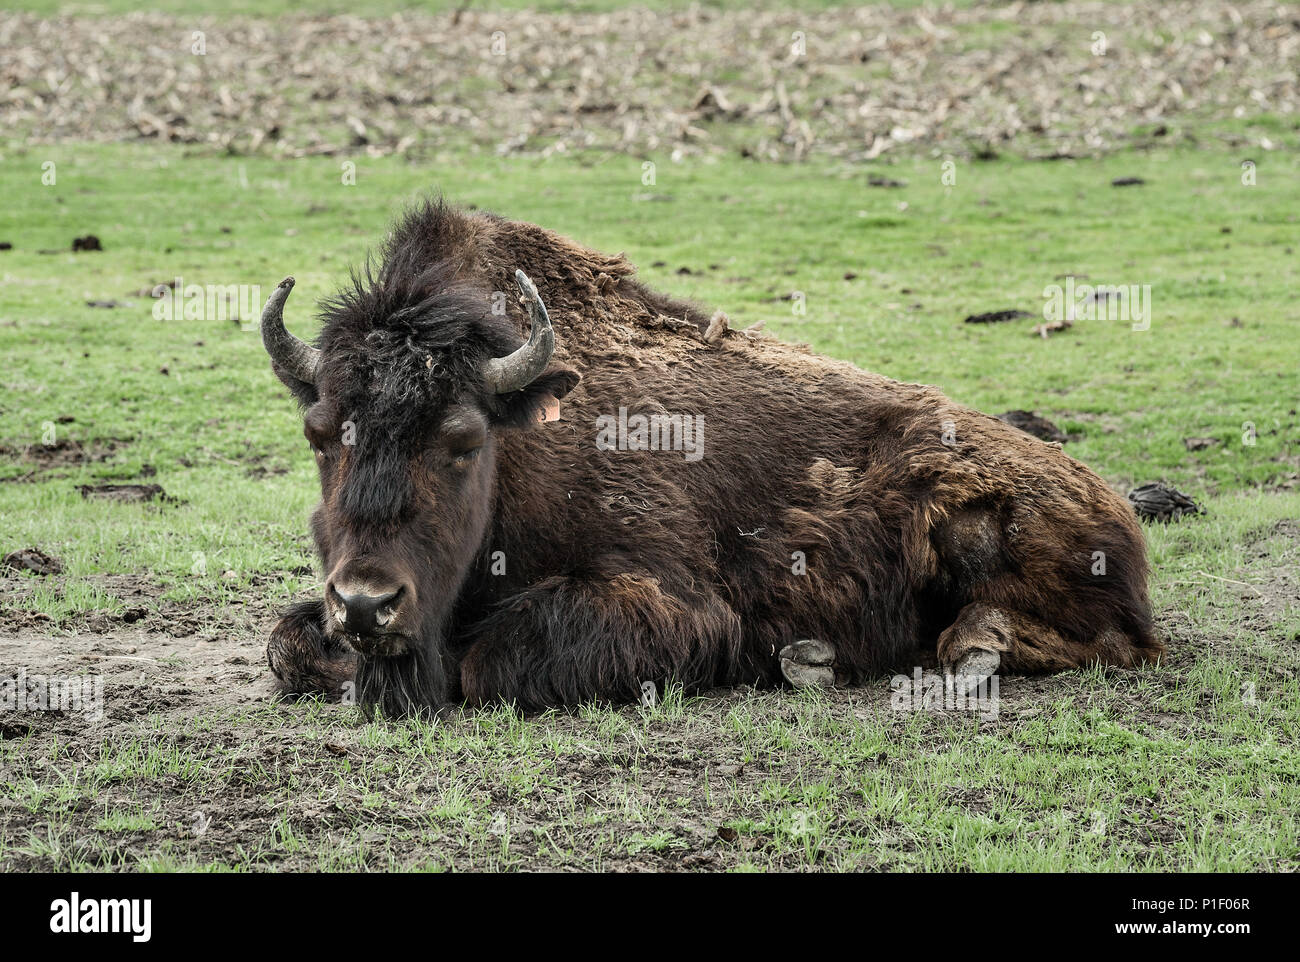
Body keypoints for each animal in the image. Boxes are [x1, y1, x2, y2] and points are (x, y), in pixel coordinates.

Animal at [258, 201, 1164, 712]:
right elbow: (286, 642)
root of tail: (1111, 503)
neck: (523, 445)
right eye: (318, 433)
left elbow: (491, 663)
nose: (368, 605)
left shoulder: (679, 603)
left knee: (1116, 642)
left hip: (978, 524)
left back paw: (956, 650)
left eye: (464, 439)